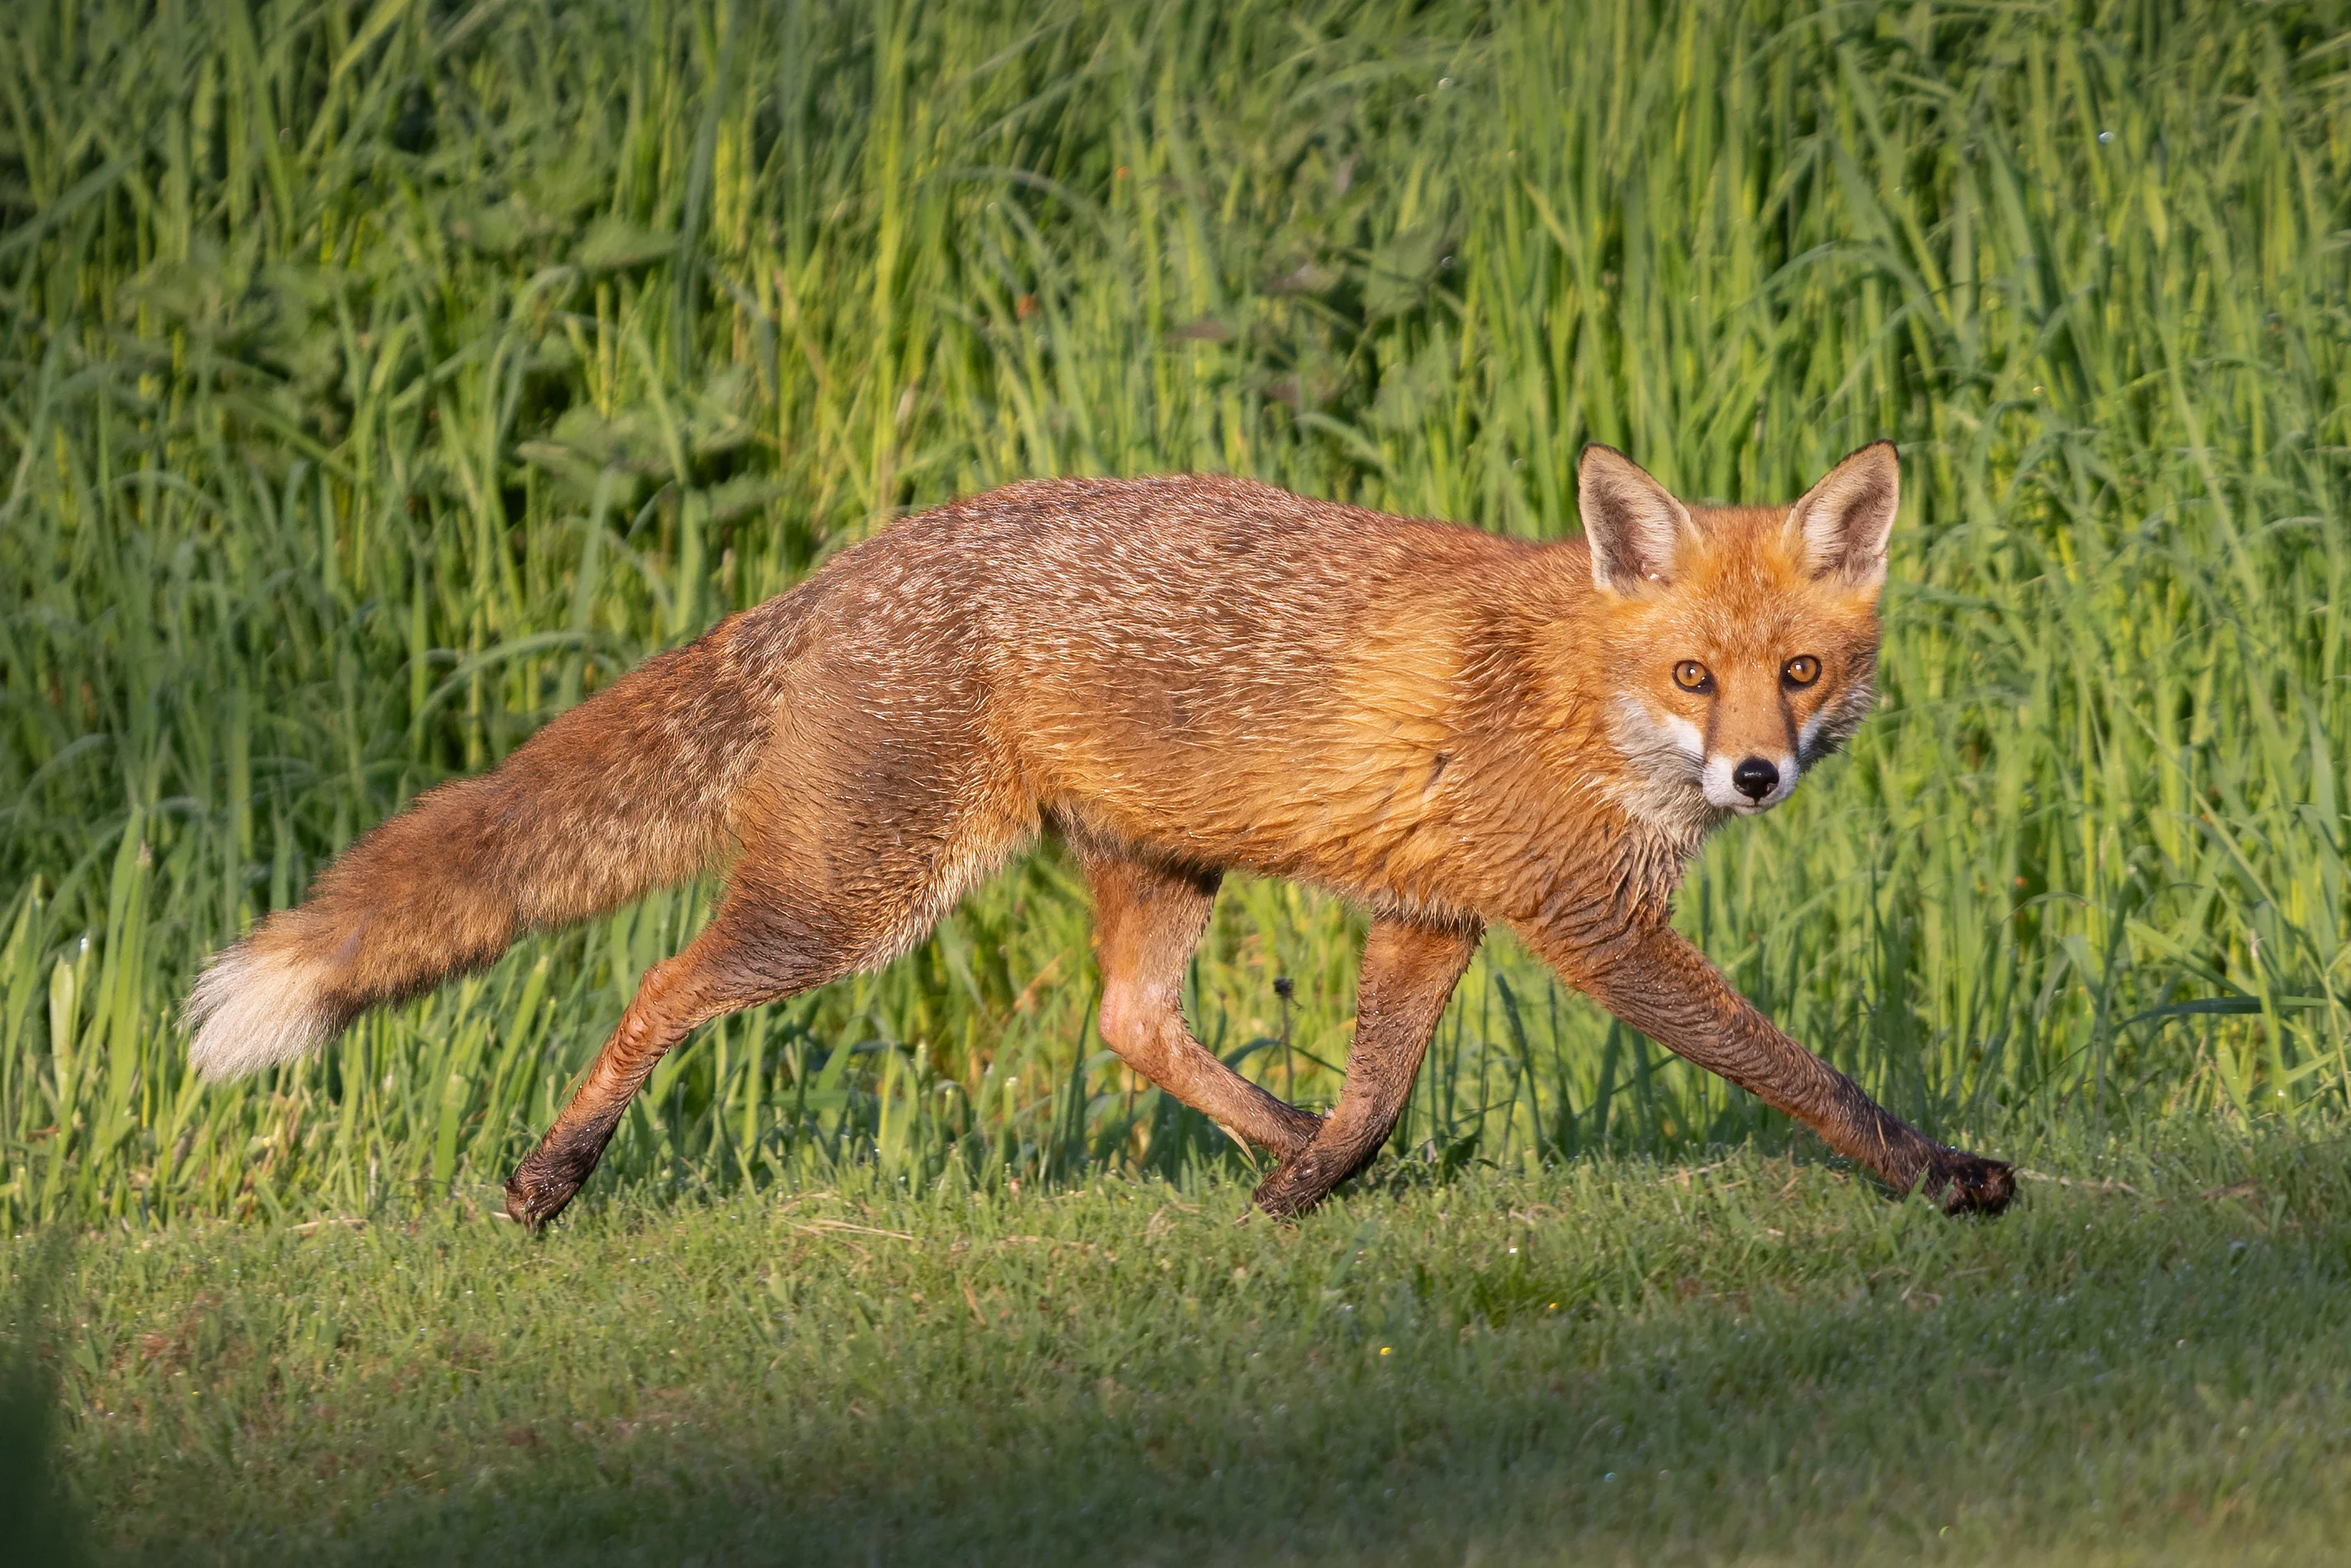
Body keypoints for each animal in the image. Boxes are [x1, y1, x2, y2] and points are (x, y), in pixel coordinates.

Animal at [184, 441, 2016, 1229]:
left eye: (1799, 671)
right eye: (1695, 675)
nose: (1756, 775)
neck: (1578, 690)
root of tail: (845, 566)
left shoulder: (1431, 911)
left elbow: (1381, 1083)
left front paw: (1316, 1181)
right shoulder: (1589, 922)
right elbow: (1794, 1070)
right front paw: (1940, 1173)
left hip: (1155, 864)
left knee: (1135, 1022)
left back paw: (1278, 1139)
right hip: (854, 900)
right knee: (656, 984)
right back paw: (554, 1175)